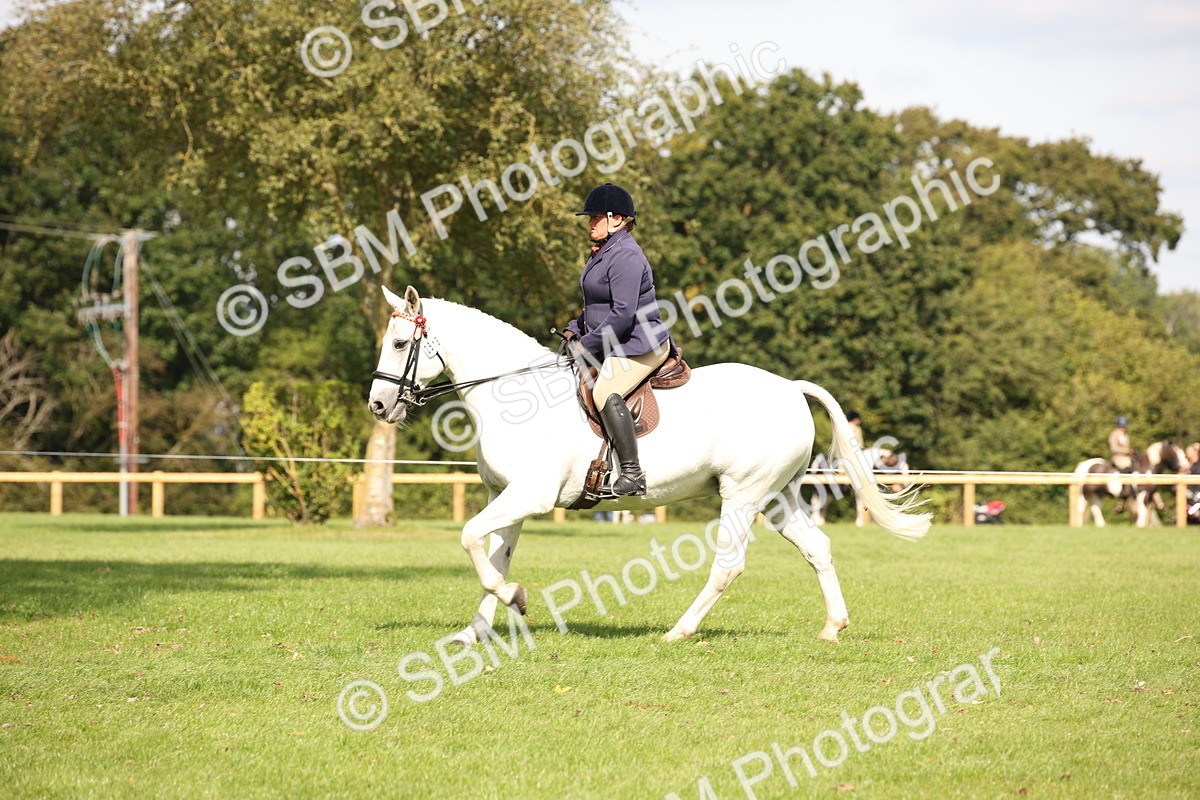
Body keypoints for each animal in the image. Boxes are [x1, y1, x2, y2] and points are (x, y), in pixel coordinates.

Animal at [368, 286, 931, 645]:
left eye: (399, 343)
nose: (377, 406)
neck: (514, 396)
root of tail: (791, 388)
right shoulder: (504, 496)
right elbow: (494, 555)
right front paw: (478, 629)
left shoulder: (529, 494)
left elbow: (469, 538)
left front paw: (515, 598)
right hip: (776, 497)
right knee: (818, 549)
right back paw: (833, 627)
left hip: (742, 495)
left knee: (728, 565)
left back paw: (680, 630)